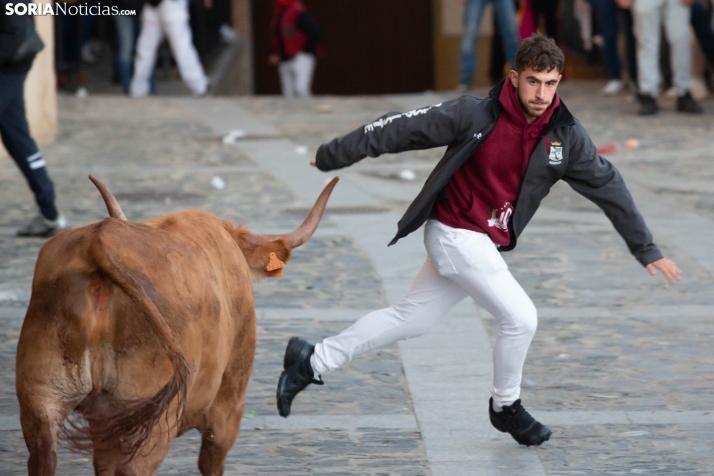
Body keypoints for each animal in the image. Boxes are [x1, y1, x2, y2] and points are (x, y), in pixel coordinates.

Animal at [15, 176, 338, 476]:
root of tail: (98, 244)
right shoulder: (228, 403)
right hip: (153, 417)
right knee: (135, 467)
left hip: (43, 400)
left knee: (45, 457)